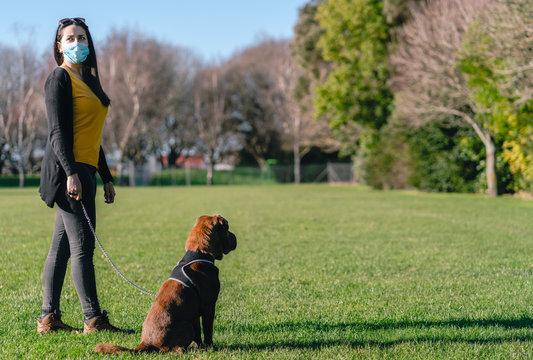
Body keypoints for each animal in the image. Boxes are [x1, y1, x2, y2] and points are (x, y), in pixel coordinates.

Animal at [94, 214, 237, 354]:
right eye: (227, 228)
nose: (236, 238)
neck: (199, 254)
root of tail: (146, 343)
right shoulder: (208, 306)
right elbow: (208, 331)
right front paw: (211, 348)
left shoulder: (195, 313)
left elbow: (198, 336)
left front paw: (201, 348)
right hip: (187, 325)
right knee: (176, 349)